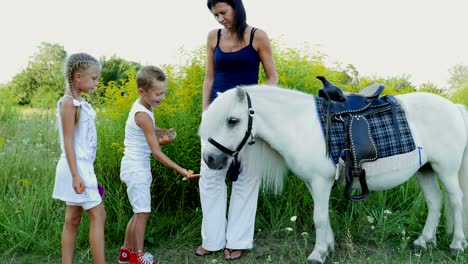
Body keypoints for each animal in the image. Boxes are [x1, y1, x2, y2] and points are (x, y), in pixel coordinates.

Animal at [199, 85, 468, 264]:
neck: (300, 124)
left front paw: (317, 254)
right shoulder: (314, 183)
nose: (210, 159)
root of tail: (454, 108)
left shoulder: (320, 181)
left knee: (455, 201)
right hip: (426, 169)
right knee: (435, 201)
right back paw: (424, 241)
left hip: (446, 169)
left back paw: (457, 244)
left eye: (233, 120)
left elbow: (318, 218)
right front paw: (327, 248)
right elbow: (323, 217)